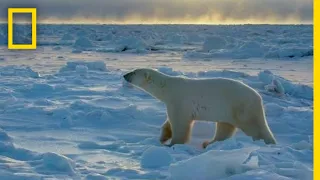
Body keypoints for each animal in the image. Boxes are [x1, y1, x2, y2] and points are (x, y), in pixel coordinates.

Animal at [124, 68, 276, 148]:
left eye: (134, 72)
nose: (125, 75)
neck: (167, 87)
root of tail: (258, 97)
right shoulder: (173, 103)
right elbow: (169, 122)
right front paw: (163, 137)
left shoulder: (179, 101)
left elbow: (180, 123)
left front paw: (173, 144)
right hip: (227, 110)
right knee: (225, 127)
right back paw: (208, 143)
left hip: (241, 107)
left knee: (254, 127)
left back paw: (269, 143)